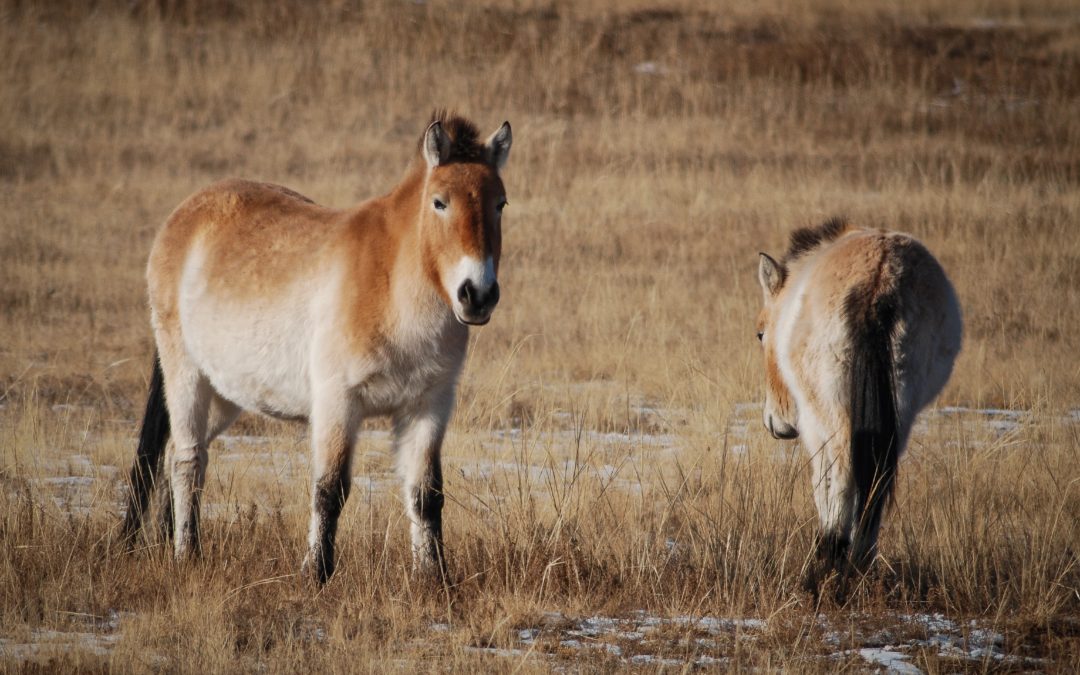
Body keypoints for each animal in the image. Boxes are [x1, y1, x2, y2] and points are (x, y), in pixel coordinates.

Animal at [118, 113, 514, 583]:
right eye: (439, 202)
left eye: (500, 204)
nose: (477, 294)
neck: (391, 284)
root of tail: (184, 215)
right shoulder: (337, 403)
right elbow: (330, 489)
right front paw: (316, 574)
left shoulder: (428, 406)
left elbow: (425, 493)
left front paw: (434, 578)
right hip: (185, 375)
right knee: (187, 462)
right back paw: (186, 555)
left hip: (224, 394)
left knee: (172, 459)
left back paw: (164, 545)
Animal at [756, 218, 967, 587]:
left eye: (760, 334)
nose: (775, 423)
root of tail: (879, 280)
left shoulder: (814, 425)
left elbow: (821, 482)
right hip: (901, 411)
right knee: (878, 480)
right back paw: (860, 561)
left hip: (833, 413)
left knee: (843, 474)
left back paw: (831, 559)